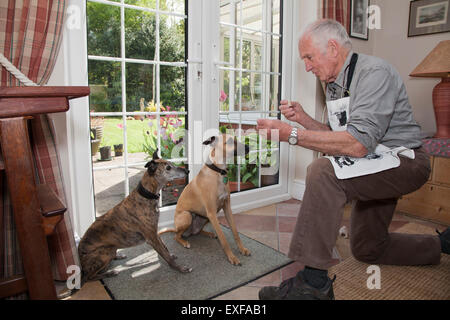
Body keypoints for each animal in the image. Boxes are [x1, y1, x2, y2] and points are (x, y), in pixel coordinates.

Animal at [79, 150, 192, 282]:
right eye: (168, 167)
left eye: (171, 164)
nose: (187, 171)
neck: (146, 196)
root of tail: (81, 264)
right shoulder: (151, 237)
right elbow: (165, 254)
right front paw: (180, 268)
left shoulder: (155, 232)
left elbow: (165, 248)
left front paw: (172, 256)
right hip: (104, 252)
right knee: (89, 277)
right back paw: (109, 273)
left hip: (110, 250)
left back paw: (118, 256)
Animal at [159, 134, 251, 266]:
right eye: (229, 141)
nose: (249, 147)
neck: (218, 172)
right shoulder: (212, 213)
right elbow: (223, 239)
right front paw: (232, 257)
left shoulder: (227, 209)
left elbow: (235, 232)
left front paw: (242, 249)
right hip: (187, 216)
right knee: (176, 236)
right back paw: (184, 242)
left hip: (205, 218)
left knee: (196, 232)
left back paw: (208, 233)